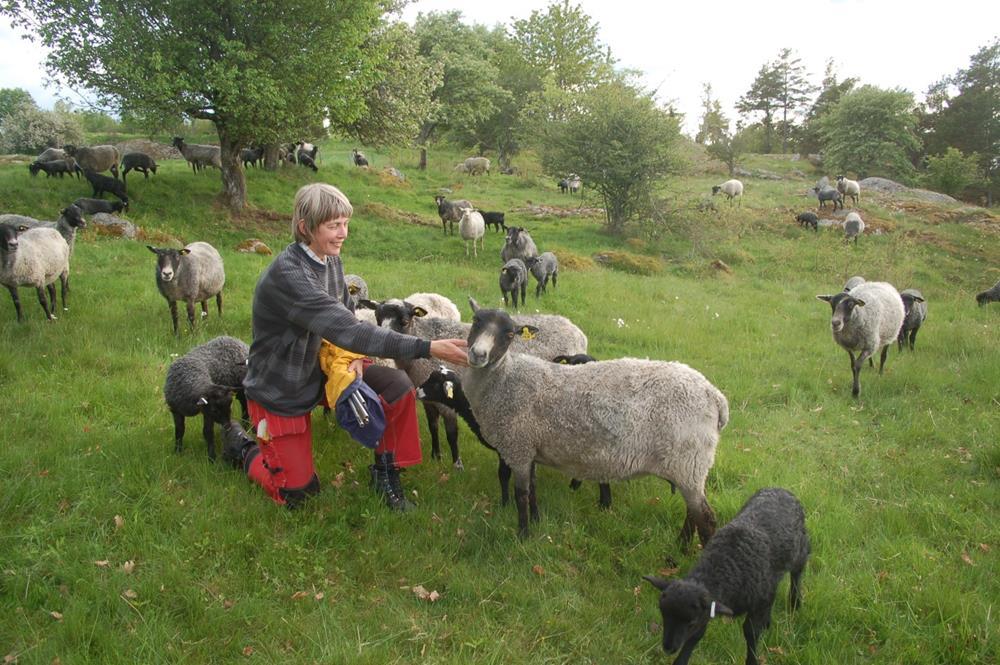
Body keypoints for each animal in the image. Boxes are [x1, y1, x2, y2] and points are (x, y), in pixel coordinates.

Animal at [460, 298, 728, 544]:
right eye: (476, 321)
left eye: (508, 334)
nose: (478, 354)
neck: (504, 379)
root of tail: (715, 397)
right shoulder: (530, 446)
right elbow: (533, 489)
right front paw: (536, 520)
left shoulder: (518, 447)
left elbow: (522, 495)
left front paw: (523, 535)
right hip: (690, 468)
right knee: (693, 513)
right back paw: (681, 545)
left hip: (688, 462)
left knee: (705, 518)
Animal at [640, 486, 812, 660]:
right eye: (663, 614)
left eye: (691, 622)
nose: (668, 648)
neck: (725, 566)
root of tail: (781, 489)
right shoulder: (709, 607)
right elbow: (695, 637)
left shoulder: (756, 602)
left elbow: (751, 632)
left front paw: (752, 659)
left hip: (800, 548)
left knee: (799, 569)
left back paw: (795, 603)